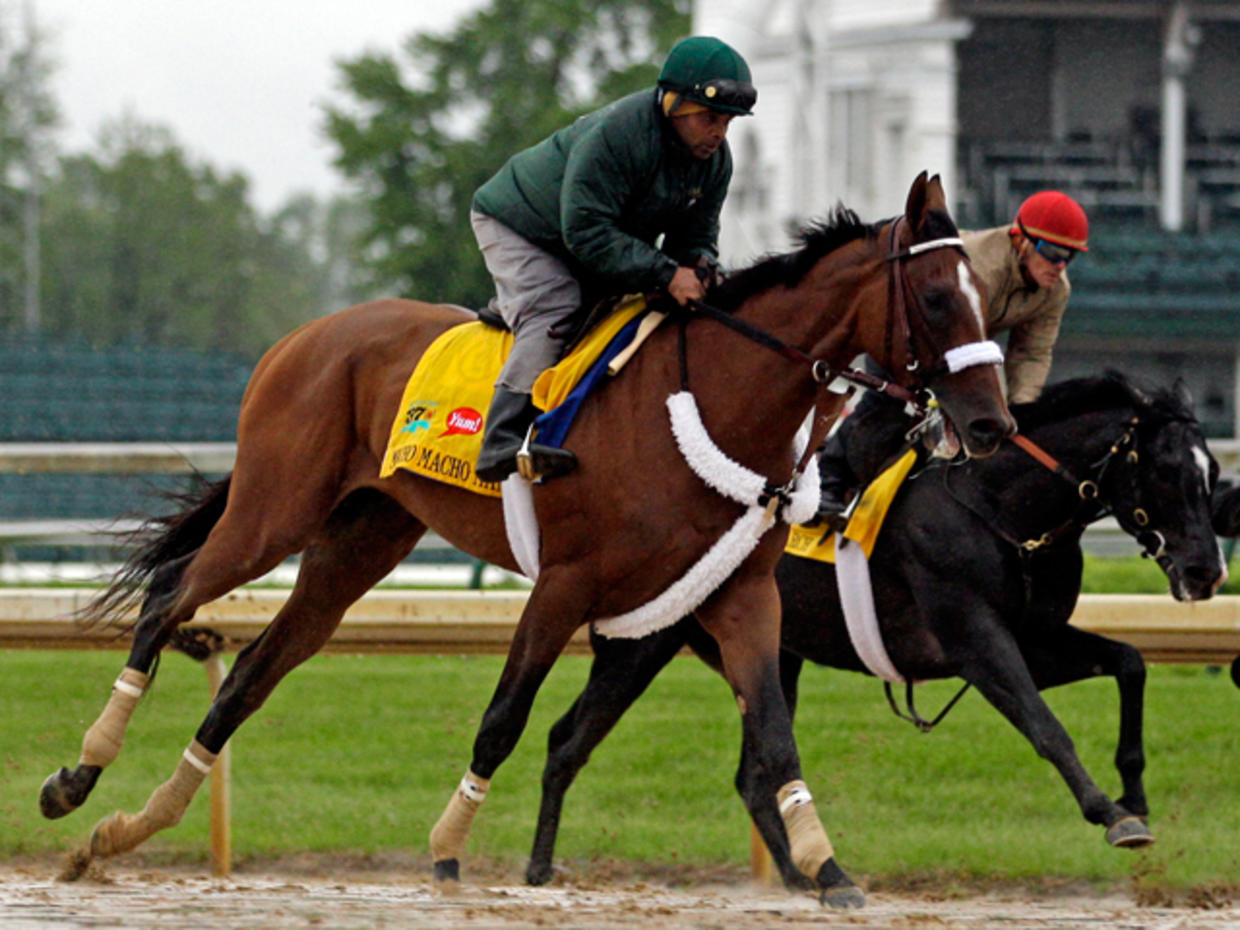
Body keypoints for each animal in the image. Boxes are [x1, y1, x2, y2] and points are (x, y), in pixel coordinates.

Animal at [41, 171, 1006, 907]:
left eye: (986, 299)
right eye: (933, 298)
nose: (990, 424)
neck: (713, 397)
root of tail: (305, 336)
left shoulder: (739, 596)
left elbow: (772, 736)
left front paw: (828, 868)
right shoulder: (565, 583)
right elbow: (503, 719)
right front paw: (446, 847)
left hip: (361, 538)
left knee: (252, 670)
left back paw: (126, 829)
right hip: (275, 509)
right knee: (171, 595)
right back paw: (77, 778)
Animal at [520, 372, 1220, 887]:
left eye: (1213, 475)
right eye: (1166, 472)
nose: (1206, 571)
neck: (994, 505)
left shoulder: (1035, 638)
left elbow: (1129, 661)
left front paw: (1136, 793)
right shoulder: (975, 641)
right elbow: (1046, 727)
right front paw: (1113, 816)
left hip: (772, 653)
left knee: (750, 776)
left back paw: (806, 878)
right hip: (645, 642)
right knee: (567, 741)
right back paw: (539, 868)